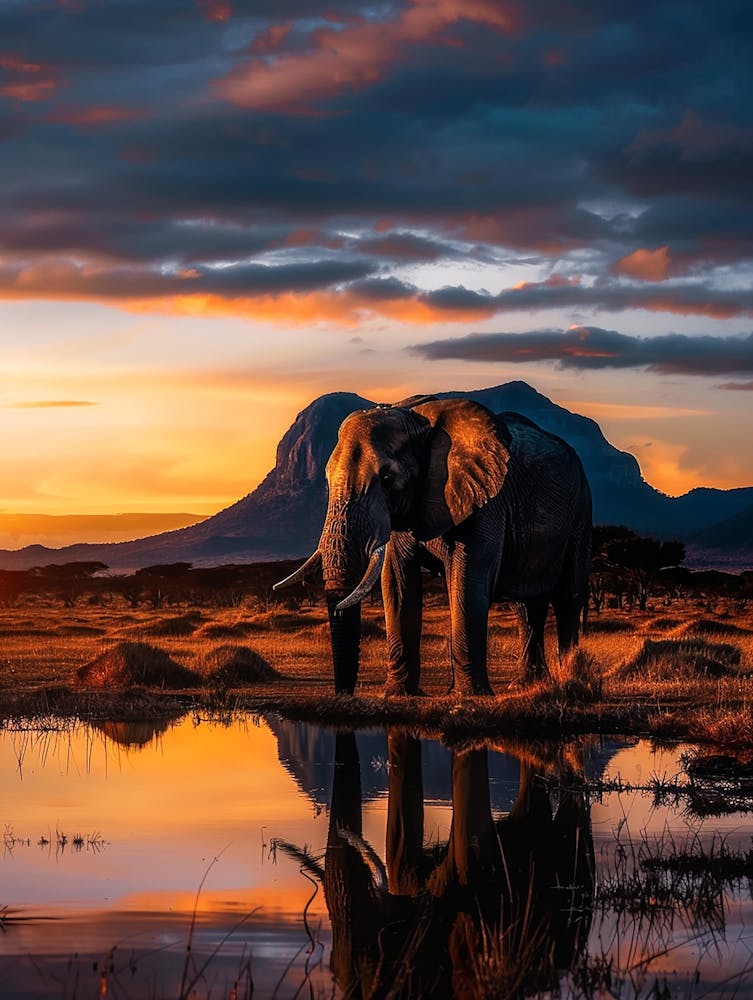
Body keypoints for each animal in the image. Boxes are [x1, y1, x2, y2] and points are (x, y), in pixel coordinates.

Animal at [275, 395, 592, 695]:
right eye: (326, 480)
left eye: (387, 478)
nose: (346, 695)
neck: (418, 421)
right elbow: (397, 582)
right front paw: (398, 694)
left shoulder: (484, 499)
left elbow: (468, 579)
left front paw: (467, 696)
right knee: (526, 606)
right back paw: (525, 686)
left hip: (581, 511)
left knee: (567, 597)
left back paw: (569, 680)